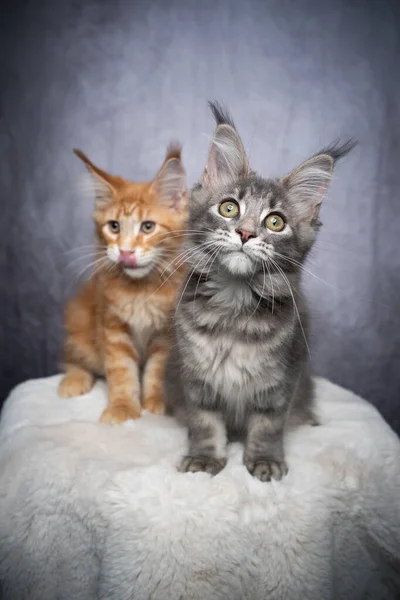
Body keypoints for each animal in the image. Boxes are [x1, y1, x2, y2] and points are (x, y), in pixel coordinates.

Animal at [58, 146, 188, 424]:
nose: (125, 252)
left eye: (148, 227)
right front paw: (123, 407)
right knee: (75, 356)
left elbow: (156, 369)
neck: (140, 290)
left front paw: (155, 402)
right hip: (79, 319)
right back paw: (73, 379)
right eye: (114, 226)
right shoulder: (111, 325)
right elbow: (121, 371)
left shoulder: (166, 332)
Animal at [166, 101, 354, 480]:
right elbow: (204, 422)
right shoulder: (196, 378)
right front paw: (204, 458)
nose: (245, 233)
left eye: (275, 222)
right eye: (229, 208)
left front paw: (265, 461)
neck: (233, 308)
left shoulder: (282, 381)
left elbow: (268, 426)